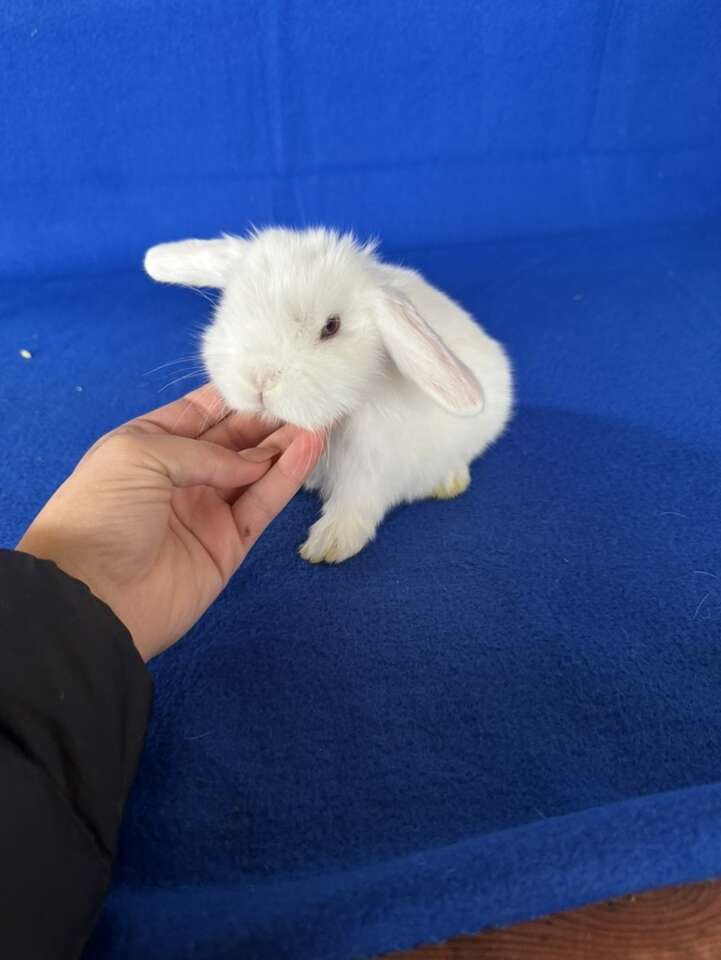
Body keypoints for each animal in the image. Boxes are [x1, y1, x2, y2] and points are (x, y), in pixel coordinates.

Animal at [143, 226, 512, 564]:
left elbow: (357, 501)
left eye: (331, 327)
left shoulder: (373, 469)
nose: (259, 379)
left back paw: (451, 481)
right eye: (230, 307)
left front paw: (329, 544)